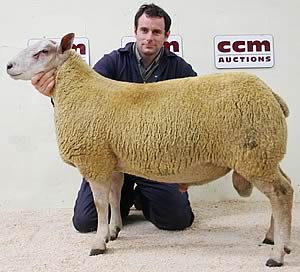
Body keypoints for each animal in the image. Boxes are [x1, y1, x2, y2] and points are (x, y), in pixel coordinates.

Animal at [6, 33, 292, 266]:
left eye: (42, 52)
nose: (8, 66)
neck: (79, 91)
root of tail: (271, 94)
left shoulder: (95, 160)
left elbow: (100, 205)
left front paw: (98, 244)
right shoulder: (112, 162)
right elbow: (114, 197)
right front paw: (113, 231)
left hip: (254, 155)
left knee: (281, 194)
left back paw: (276, 254)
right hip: (267, 154)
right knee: (285, 187)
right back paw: (276, 239)